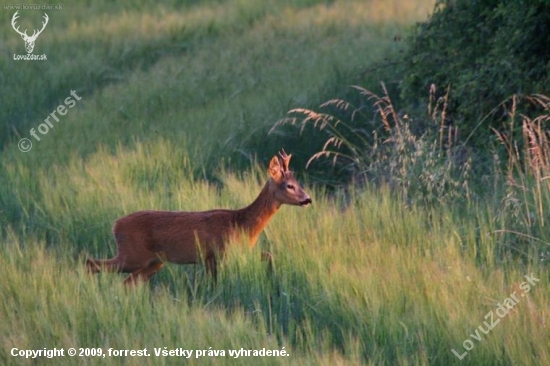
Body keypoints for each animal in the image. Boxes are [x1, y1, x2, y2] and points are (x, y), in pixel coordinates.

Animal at [85, 150, 310, 284]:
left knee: (126, 282)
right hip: (133, 255)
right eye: (289, 185)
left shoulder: (229, 254)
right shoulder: (219, 253)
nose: (307, 199)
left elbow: (268, 255)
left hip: (154, 262)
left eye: (298, 182)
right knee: (91, 264)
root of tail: (115, 225)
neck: (242, 223)